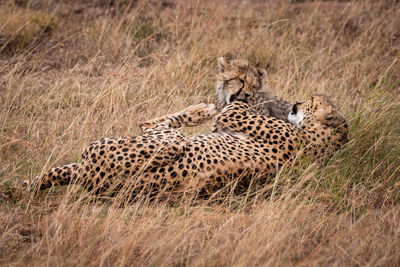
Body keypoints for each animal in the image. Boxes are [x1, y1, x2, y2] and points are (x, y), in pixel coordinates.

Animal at [24, 94, 346, 199]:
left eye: (312, 101)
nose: (297, 103)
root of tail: (88, 175)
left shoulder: (236, 117)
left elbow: (234, 108)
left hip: (163, 143)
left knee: (154, 127)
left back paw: (198, 110)